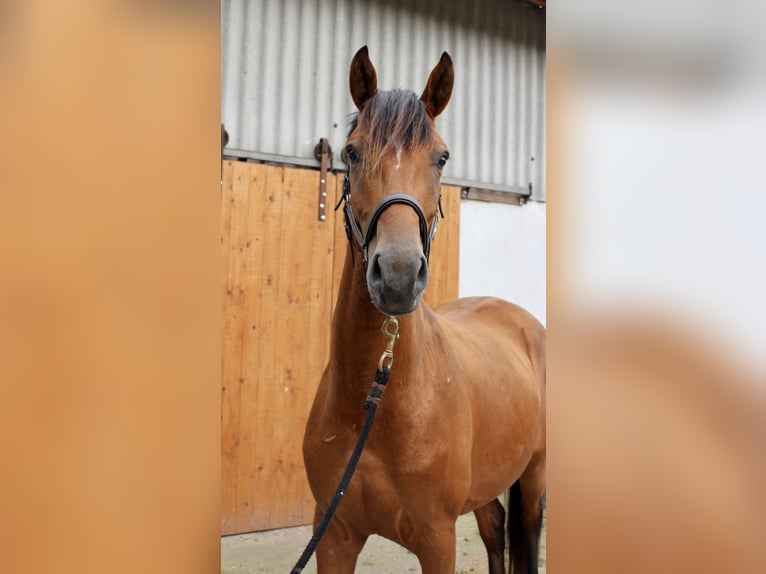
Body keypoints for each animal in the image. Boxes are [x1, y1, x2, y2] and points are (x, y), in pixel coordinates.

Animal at [302, 46, 546, 574]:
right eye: (351, 152)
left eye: (442, 156)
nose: (396, 274)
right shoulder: (333, 537)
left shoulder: (437, 540)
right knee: (495, 532)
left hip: (535, 475)